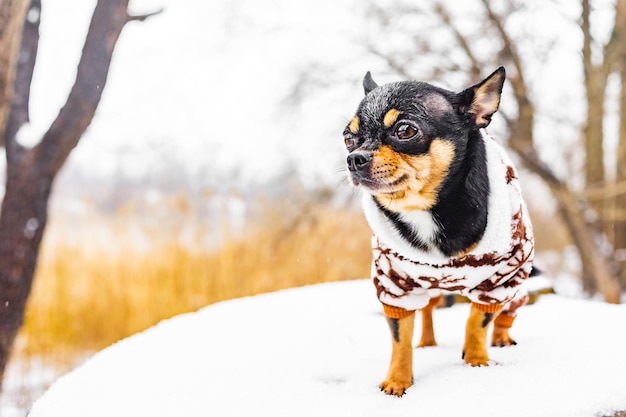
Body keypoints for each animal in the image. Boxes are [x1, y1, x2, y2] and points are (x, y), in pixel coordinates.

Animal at [344, 66, 532, 394]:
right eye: (348, 137)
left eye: (405, 130)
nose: (354, 158)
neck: (424, 211)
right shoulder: (396, 285)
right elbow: (399, 338)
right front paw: (397, 380)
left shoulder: (499, 280)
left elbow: (478, 322)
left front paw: (476, 361)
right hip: (427, 287)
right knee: (428, 310)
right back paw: (427, 342)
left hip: (517, 286)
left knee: (504, 313)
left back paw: (501, 337)